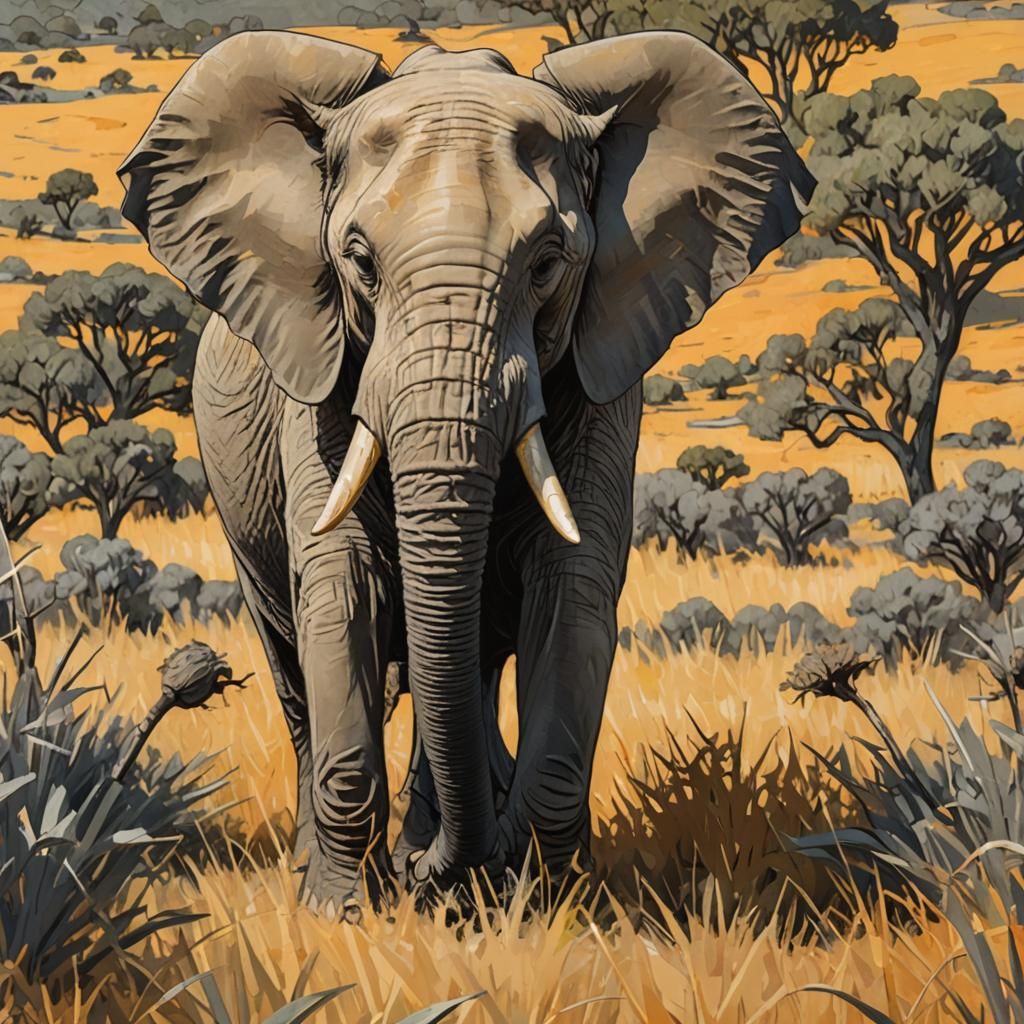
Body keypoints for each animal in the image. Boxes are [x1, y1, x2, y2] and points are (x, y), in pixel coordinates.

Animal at [118, 28, 813, 912]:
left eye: (548, 264)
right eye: (359, 262)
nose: (431, 872)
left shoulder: (601, 373)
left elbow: (572, 588)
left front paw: (551, 904)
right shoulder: (314, 381)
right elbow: (341, 586)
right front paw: (341, 912)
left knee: (464, 665)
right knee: (297, 668)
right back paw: (339, 862)